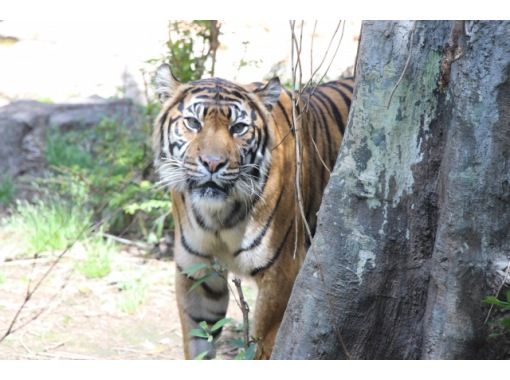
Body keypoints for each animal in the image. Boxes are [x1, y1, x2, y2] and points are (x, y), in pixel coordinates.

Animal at [151, 63, 350, 360]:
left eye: (238, 128)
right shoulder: (197, 272)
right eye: (194, 123)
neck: (218, 215)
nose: (213, 163)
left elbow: (263, 346)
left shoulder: (281, 273)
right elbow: (198, 343)